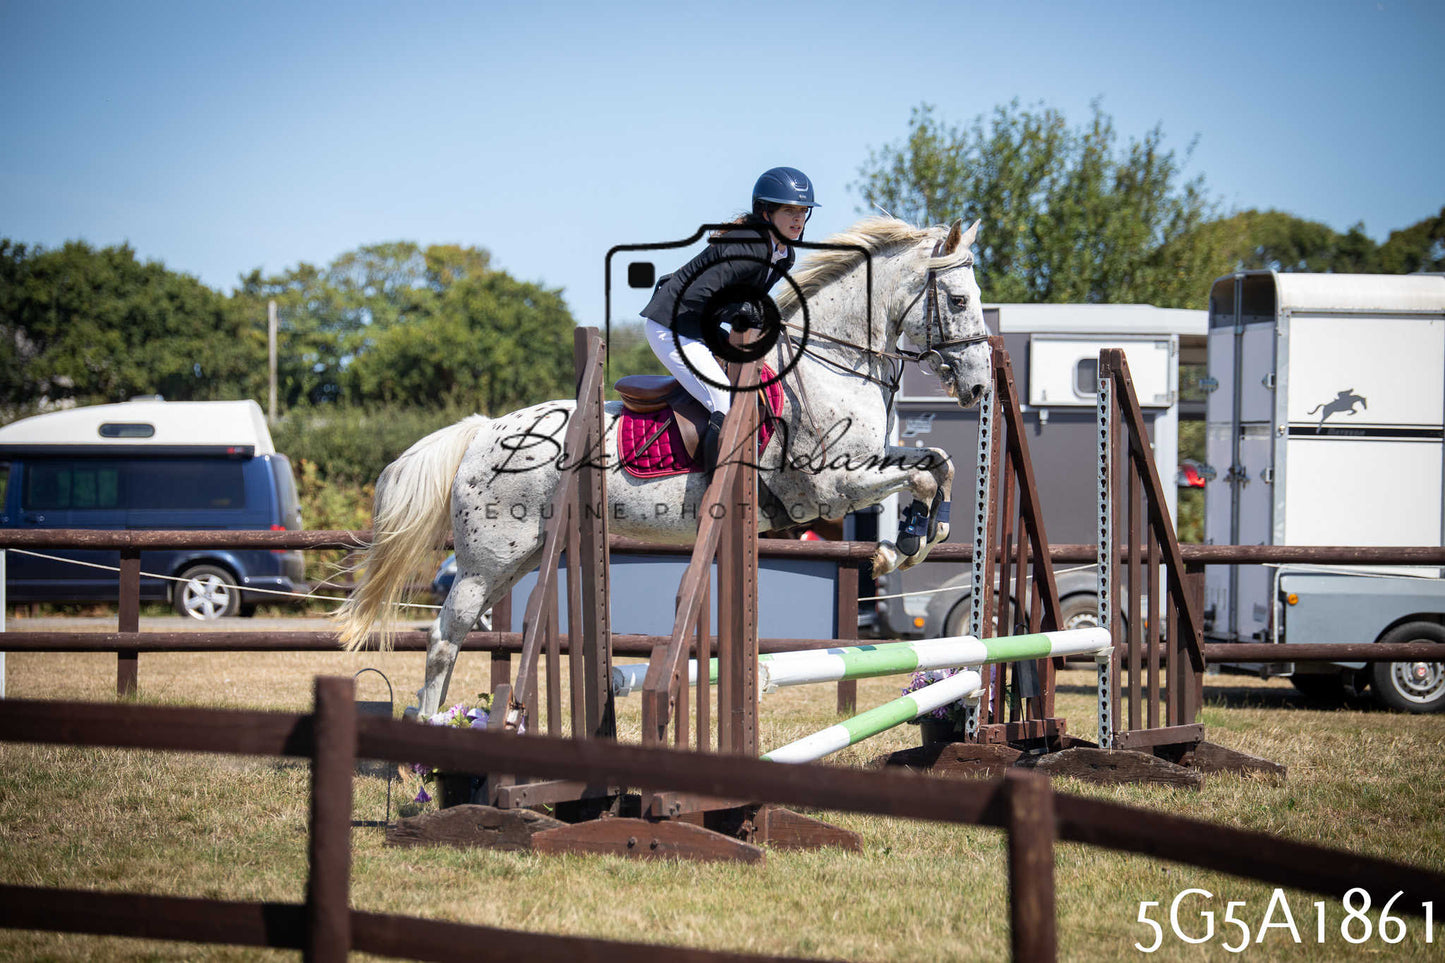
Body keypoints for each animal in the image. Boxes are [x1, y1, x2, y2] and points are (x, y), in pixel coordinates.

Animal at [335, 217, 992, 717]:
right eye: (959, 300)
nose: (980, 388)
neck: (833, 361)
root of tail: (482, 431)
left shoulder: (866, 466)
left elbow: (939, 463)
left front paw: (917, 538)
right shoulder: (832, 487)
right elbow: (924, 473)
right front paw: (898, 547)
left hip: (517, 558)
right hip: (485, 559)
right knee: (443, 639)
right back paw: (431, 729)